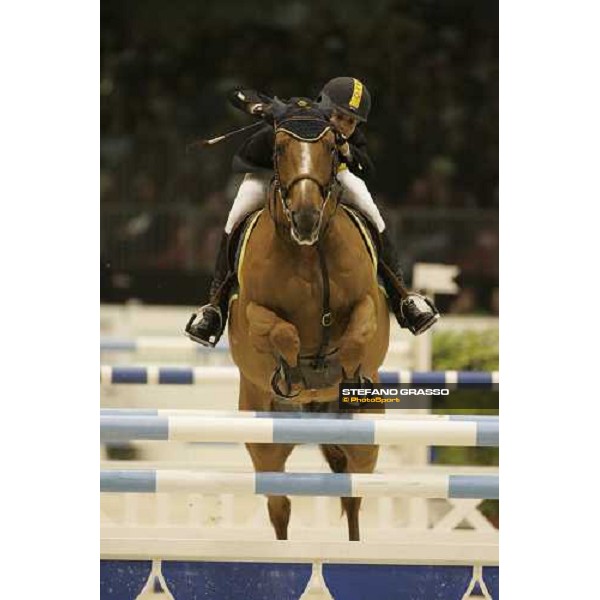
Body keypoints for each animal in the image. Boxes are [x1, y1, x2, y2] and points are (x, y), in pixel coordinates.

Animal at [226, 104, 390, 544]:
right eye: (279, 148)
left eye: (333, 147)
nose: (304, 217)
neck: (309, 251)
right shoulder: (251, 311)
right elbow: (283, 331)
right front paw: (295, 374)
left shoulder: (369, 304)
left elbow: (356, 336)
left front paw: (342, 375)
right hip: (264, 442)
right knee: (279, 505)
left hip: (364, 444)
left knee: (353, 495)